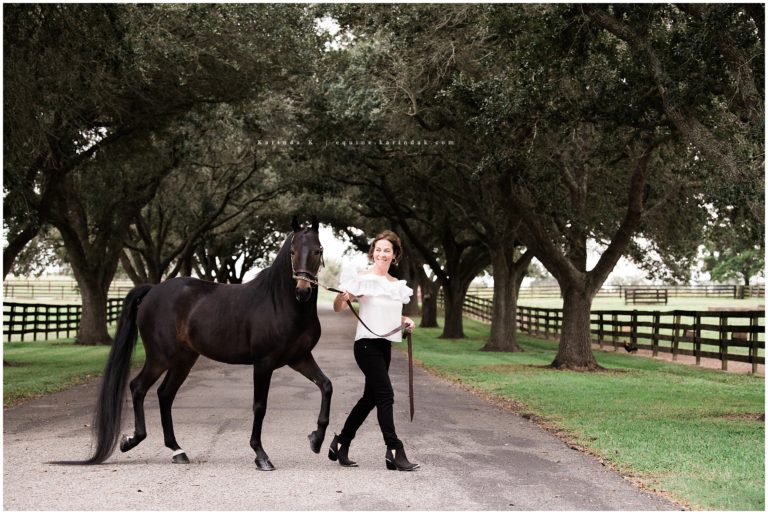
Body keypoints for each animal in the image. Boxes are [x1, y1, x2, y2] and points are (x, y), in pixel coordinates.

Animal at [61, 216, 330, 471]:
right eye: (292, 252)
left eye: (318, 250)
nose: (303, 290)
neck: (280, 303)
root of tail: (153, 291)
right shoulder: (263, 363)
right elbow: (260, 407)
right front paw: (261, 456)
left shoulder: (299, 358)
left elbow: (326, 386)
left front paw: (316, 439)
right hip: (160, 358)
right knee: (138, 387)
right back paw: (131, 441)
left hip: (183, 360)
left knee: (164, 394)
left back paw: (177, 450)